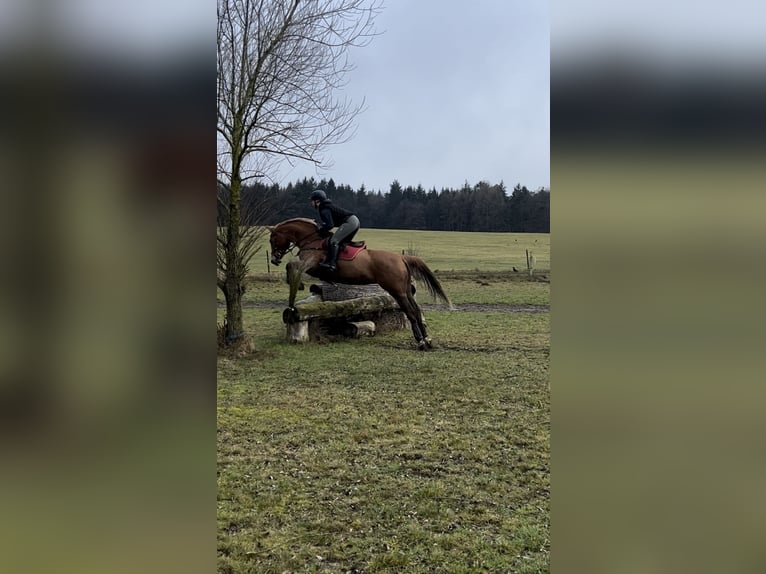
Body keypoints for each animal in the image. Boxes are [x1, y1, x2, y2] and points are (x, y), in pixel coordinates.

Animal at [268, 217, 452, 348]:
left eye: (272, 239)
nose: (274, 259)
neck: (311, 240)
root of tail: (401, 257)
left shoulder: (310, 264)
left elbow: (291, 265)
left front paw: (296, 285)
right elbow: (291, 265)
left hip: (397, 291)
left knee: (411, 313)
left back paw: (420, 342)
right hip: (405, 290)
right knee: (417, 310)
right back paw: (427, 339)